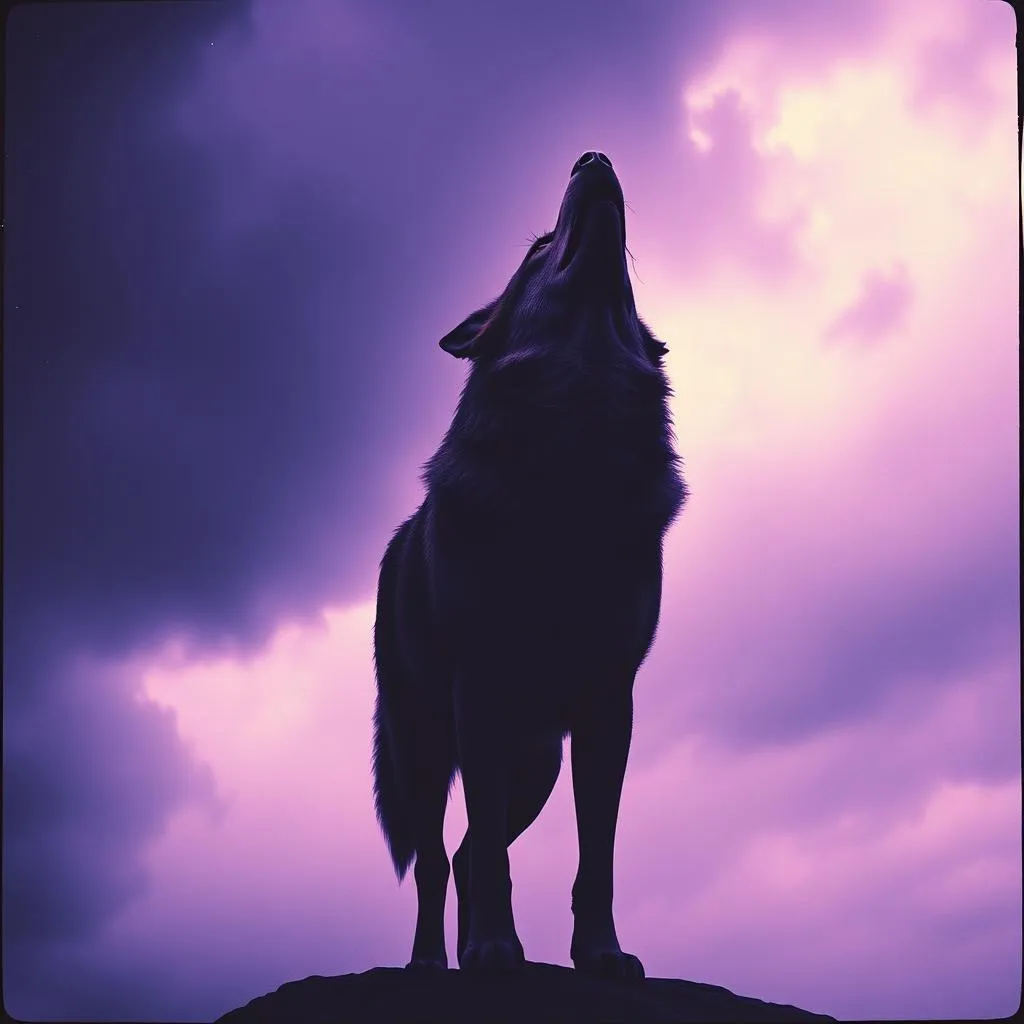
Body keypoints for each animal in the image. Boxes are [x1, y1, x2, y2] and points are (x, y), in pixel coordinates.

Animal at [372, 151, 686, 978]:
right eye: (540, 248)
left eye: (627, 270)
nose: (594, 156)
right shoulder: (480, 688)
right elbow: (485, 860)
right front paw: (491, 951)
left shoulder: (610, 703)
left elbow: (596, 859)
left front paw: (601, 955)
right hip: (425, 748)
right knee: (438, 858)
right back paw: (433, 963)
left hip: (537, 769)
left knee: (467, 849)